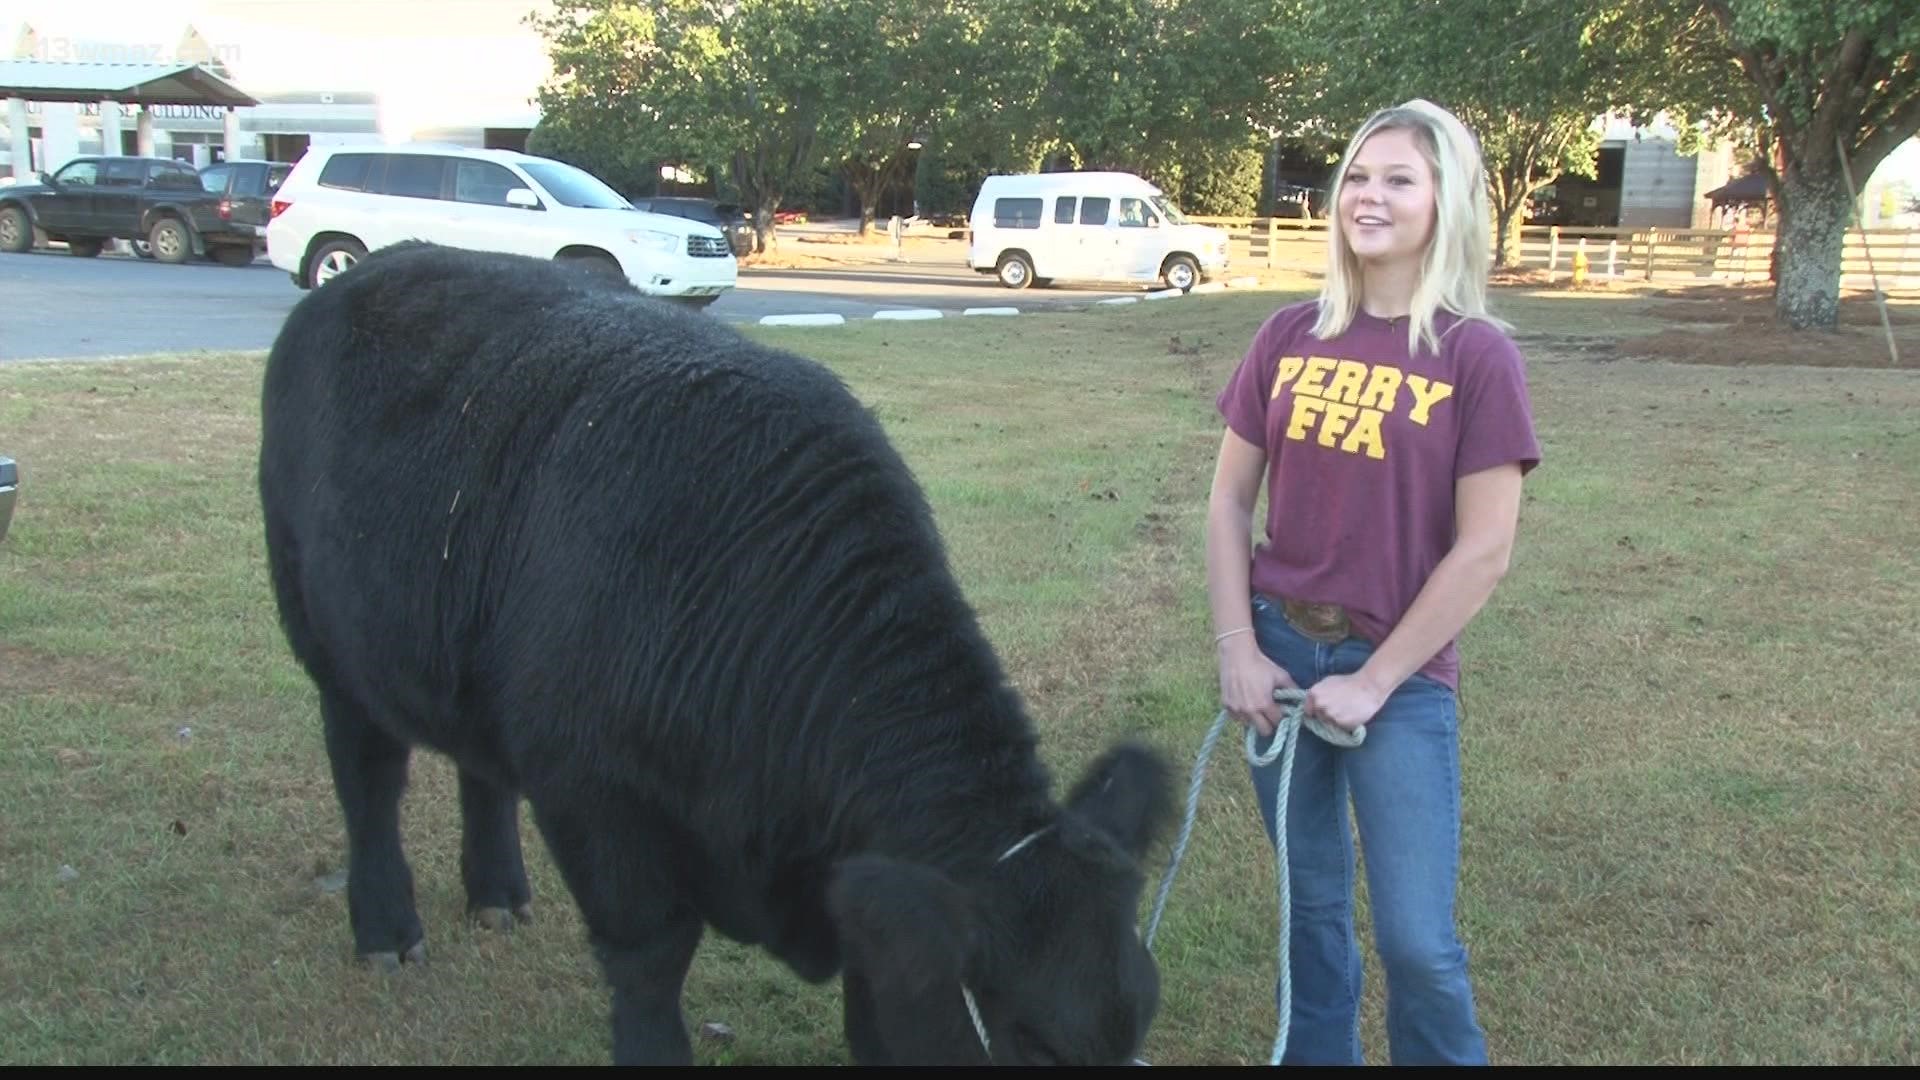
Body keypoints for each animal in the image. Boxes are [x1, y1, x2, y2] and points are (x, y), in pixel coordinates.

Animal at [259, 242, 1167, 1060]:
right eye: (1035, 1041)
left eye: (1140, 1016)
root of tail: (368, 270)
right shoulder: (595, 803)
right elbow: (649, 964)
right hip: (326, 641)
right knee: (368, 779)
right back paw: (386, 928)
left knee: (480, 771)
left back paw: (498, 896)